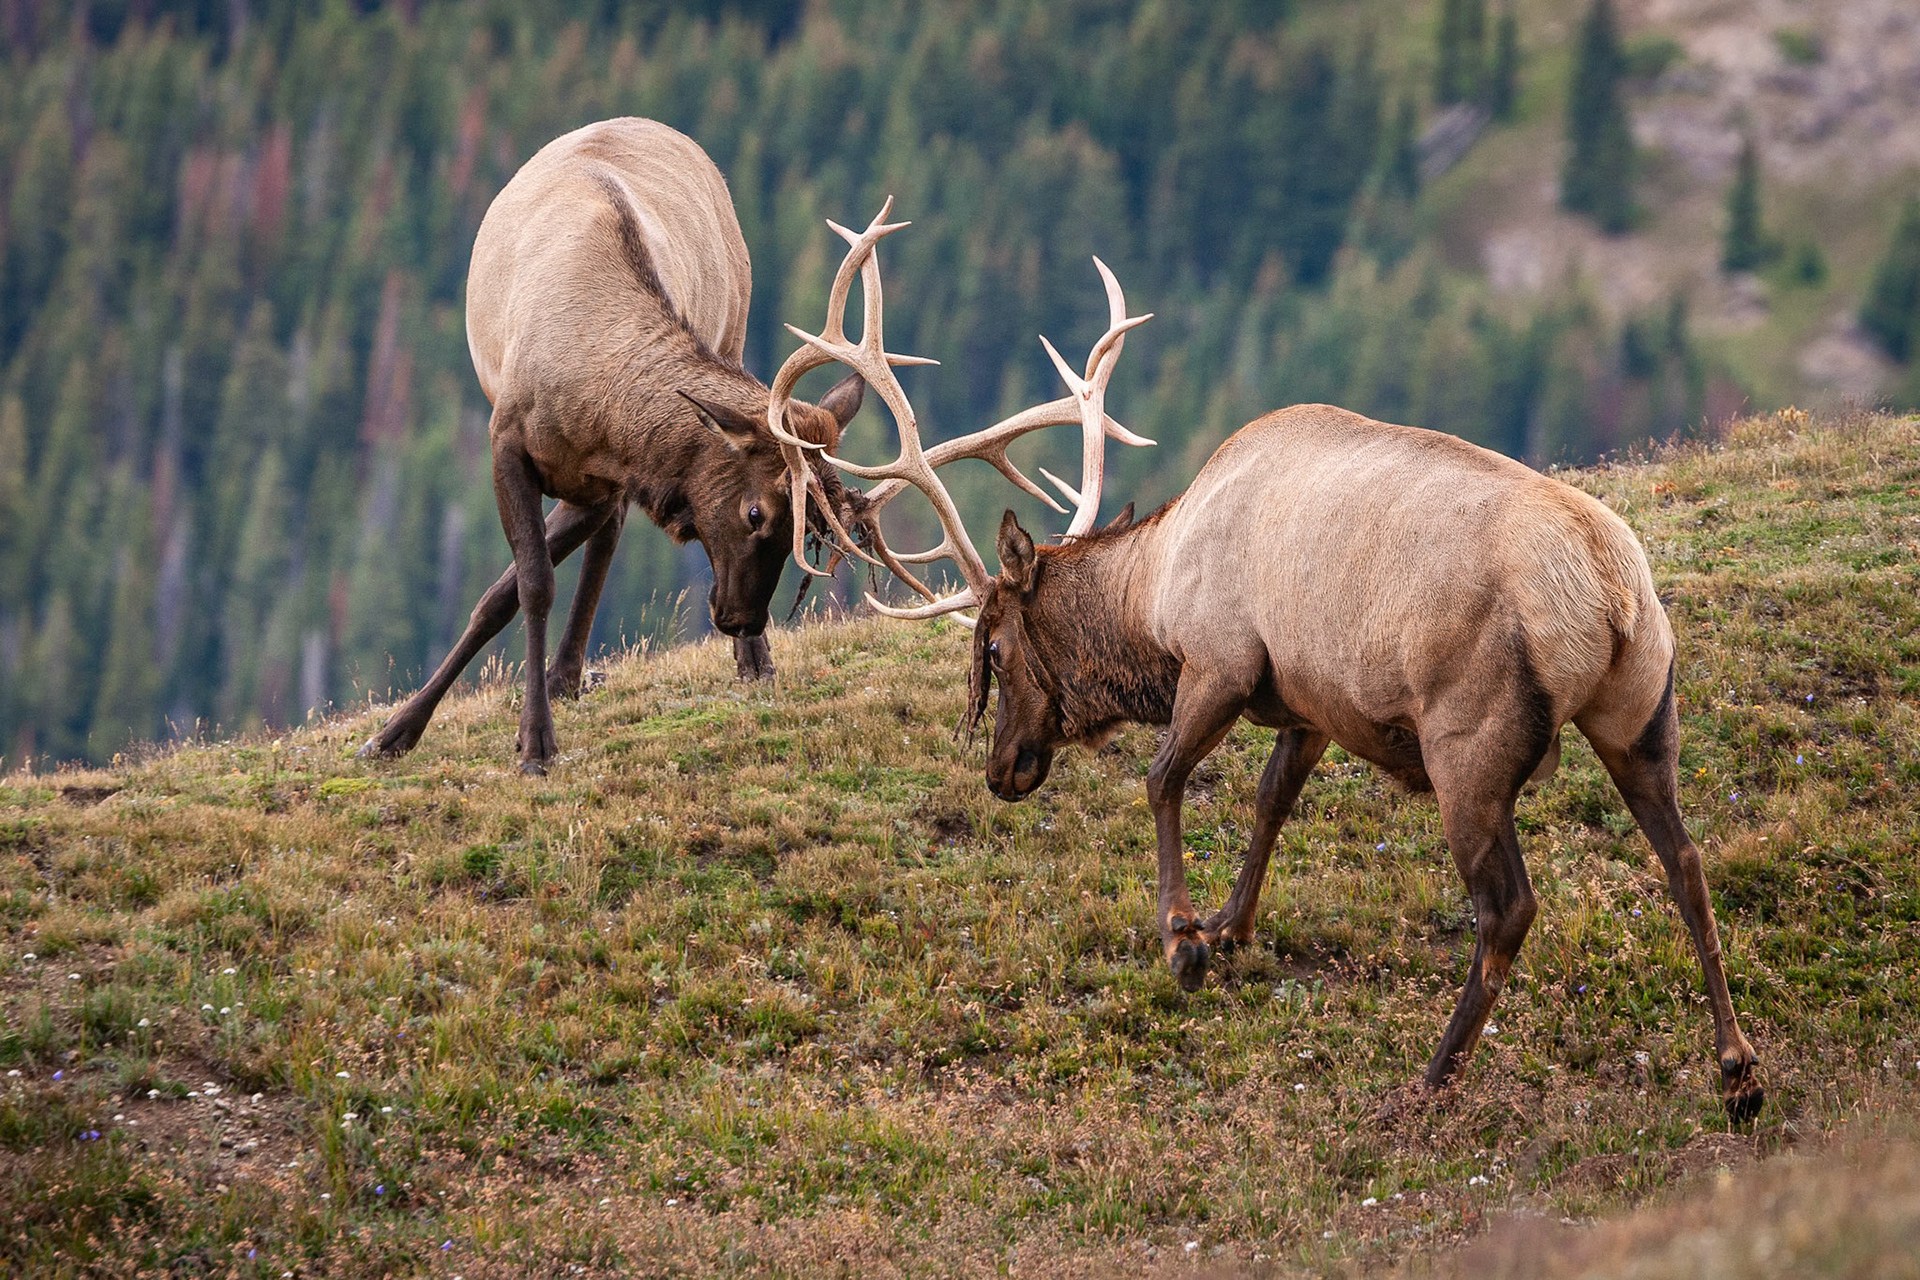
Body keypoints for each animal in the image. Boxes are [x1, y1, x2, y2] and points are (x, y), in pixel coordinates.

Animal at [356, 118, 869, 774]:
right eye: (756, 513)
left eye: (808, 535)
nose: (742, 619)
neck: (597, 408)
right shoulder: (508, 446)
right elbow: (524, 588)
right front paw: (418, 732)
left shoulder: (605, 481)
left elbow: (529, 579)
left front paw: (525, 733)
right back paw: (564, 678)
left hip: (731, 331)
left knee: (608, 540)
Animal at [777, 205, 1764, 1122]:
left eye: (992, 644)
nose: (1000, 771)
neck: (1156, 594)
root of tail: (1609, 593)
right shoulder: (1309, 701)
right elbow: (1270, 800)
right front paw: (1230, 926)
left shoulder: (1219, 661)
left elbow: (1163, 777)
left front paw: (1182, 941)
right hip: (1643, 711)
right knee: (1686, 861)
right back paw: (1738, 1069)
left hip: (1471, 745)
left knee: (1509, 907)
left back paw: (1431, 1078)